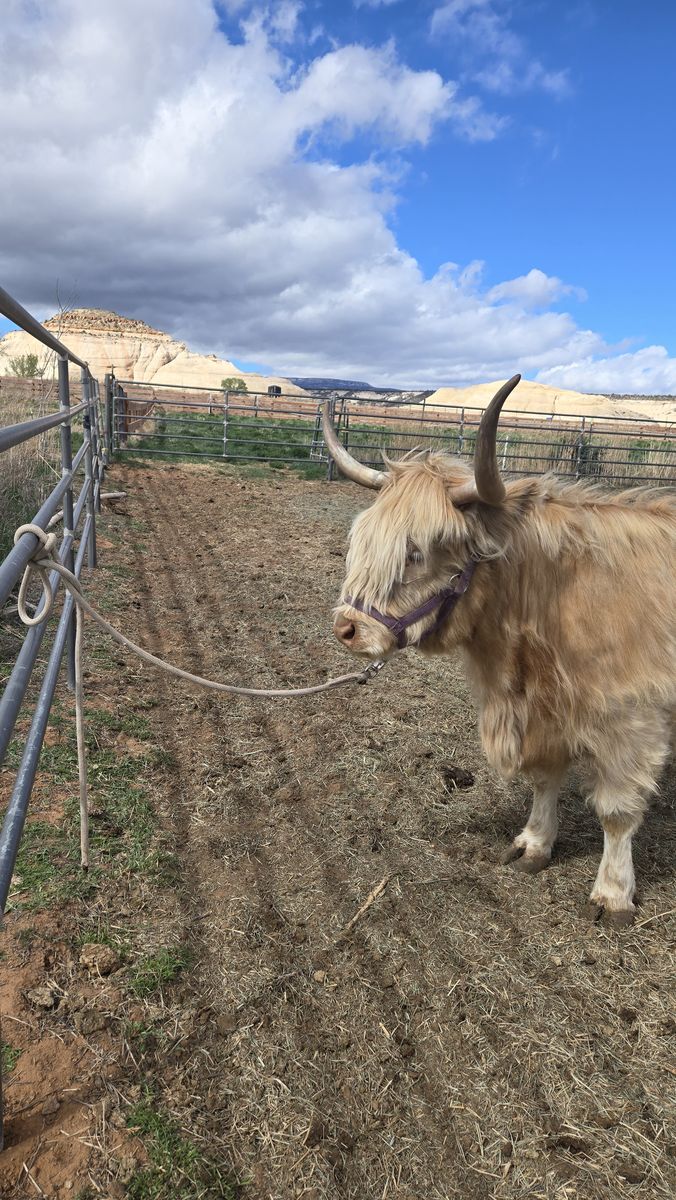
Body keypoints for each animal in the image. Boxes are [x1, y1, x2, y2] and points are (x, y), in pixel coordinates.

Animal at [323, 377, 676, 926]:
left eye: (415, 552)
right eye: (361, 542)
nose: (346, 628)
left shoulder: (634, 720)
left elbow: (617, 811)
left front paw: (613, 892)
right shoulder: (542, 712)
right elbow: (544, 779)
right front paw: (534, 843)